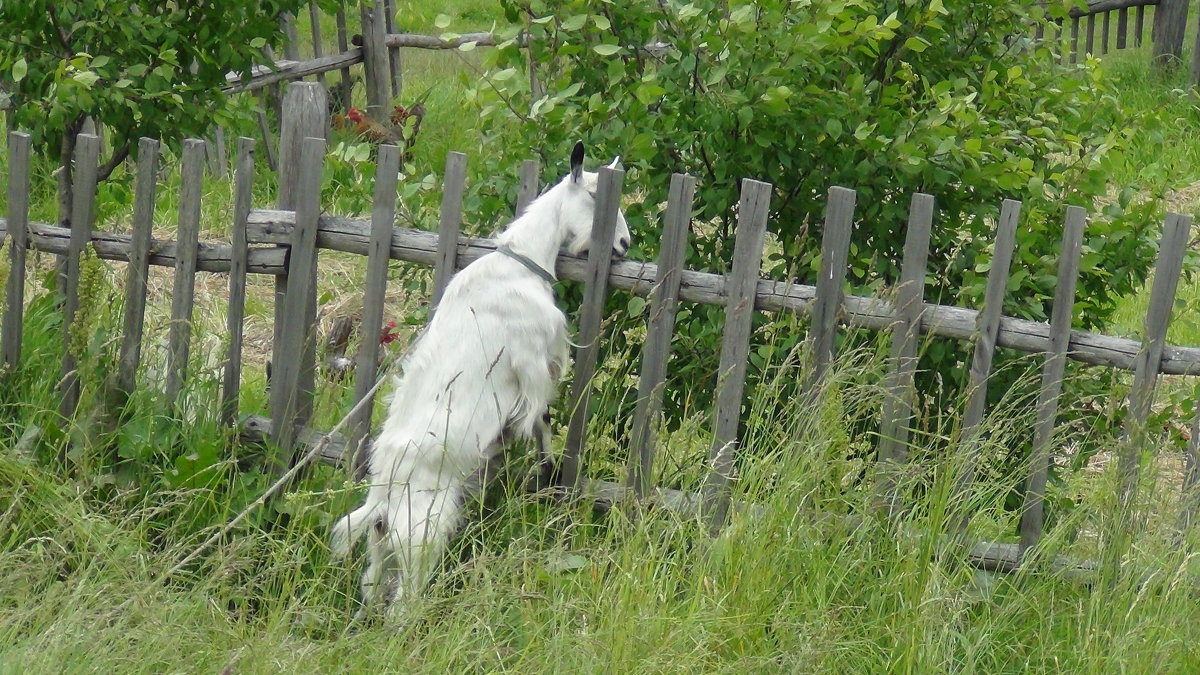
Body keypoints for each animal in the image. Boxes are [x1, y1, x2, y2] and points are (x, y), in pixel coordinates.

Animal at [328, 141, 628, 614]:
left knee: (373, 587)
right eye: (597, 197)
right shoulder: (534, 363)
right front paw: (546, 463)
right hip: (422, 535)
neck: (520, 265)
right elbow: (539, 416)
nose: (624, 244)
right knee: (402, 604)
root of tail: (380, 501)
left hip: (383, 550)